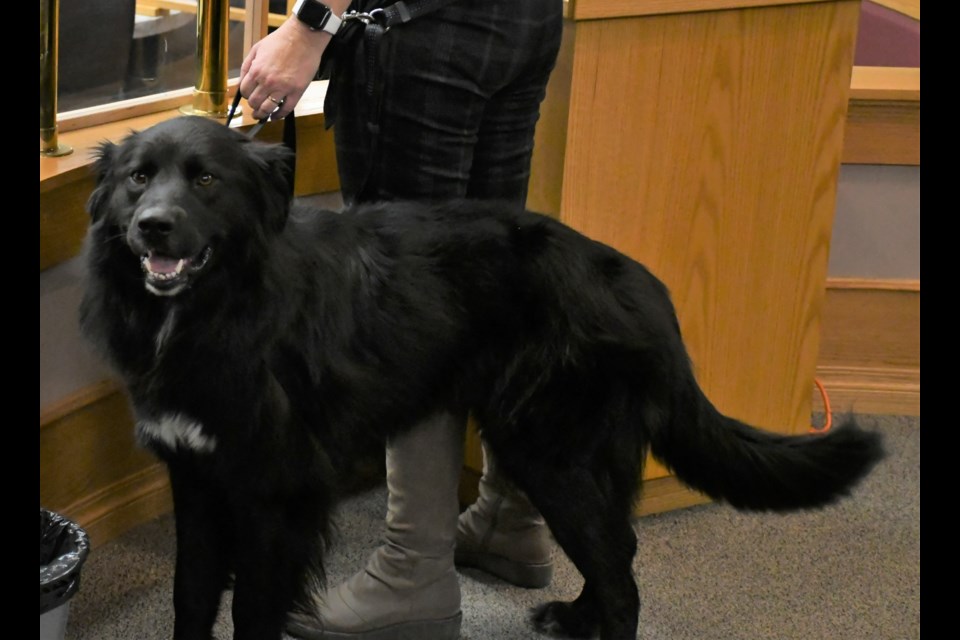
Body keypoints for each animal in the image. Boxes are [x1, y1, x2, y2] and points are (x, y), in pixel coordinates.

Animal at [82, 116, 884, 640]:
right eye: (138, 179)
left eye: (207, 179)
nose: (153, 226)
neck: (221, 305)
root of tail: (638, 282)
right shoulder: (196, 477)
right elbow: (189, 597)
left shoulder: (274, 497)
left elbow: (250, 612)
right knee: (619, 550)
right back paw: (575, 616)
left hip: (550, 452)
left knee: (623, 581)